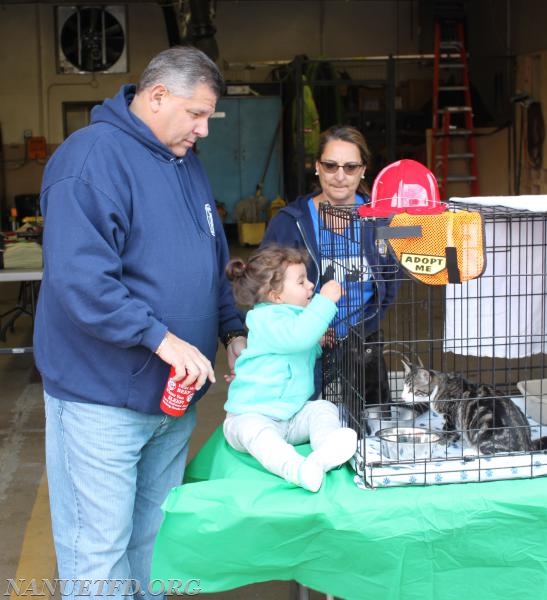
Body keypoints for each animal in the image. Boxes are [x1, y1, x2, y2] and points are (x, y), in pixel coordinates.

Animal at [398, 358, 547, 452]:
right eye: (404, 387)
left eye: (412, 390)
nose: (402, 397)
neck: (440, 388)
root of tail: (526, 443)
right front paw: (454, 438)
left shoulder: (450, 413)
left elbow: (448, 429)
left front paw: (442, 442)